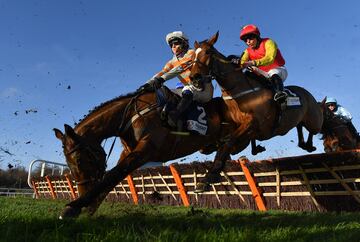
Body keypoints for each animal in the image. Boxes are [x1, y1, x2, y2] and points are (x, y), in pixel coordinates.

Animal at [52, 88, 233, 218]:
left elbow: (112, 175)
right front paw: (87, 208)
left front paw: (75, 206)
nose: (82, 191)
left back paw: (210, 178)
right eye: (68, 164)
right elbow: (112, 178)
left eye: (79, 160)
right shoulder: (128, 151)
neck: (130, 115)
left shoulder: (146, 149)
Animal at [188, 31, 324, 189]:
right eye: (192, 56)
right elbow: (218, 146)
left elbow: (228, 142)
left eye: (208, 52)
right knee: (299, 127)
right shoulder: (237, 132)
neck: (240, 93)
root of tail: (307, 93)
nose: (194, 78)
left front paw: (209, 177)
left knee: (312, 130)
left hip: (314, 120)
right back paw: (303, 144)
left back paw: (309, 145)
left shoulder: (252, 124)